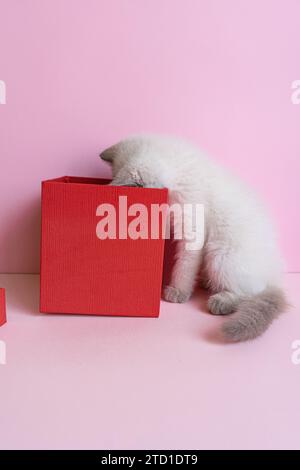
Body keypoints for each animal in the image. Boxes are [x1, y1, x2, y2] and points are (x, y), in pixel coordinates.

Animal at [100, 135, 286, 342]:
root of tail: (275, 276)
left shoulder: (191, 225)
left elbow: (184, 265)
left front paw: (178, 291)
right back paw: (206, 283)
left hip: (220, 255)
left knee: (249, 293)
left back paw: (219, 302)